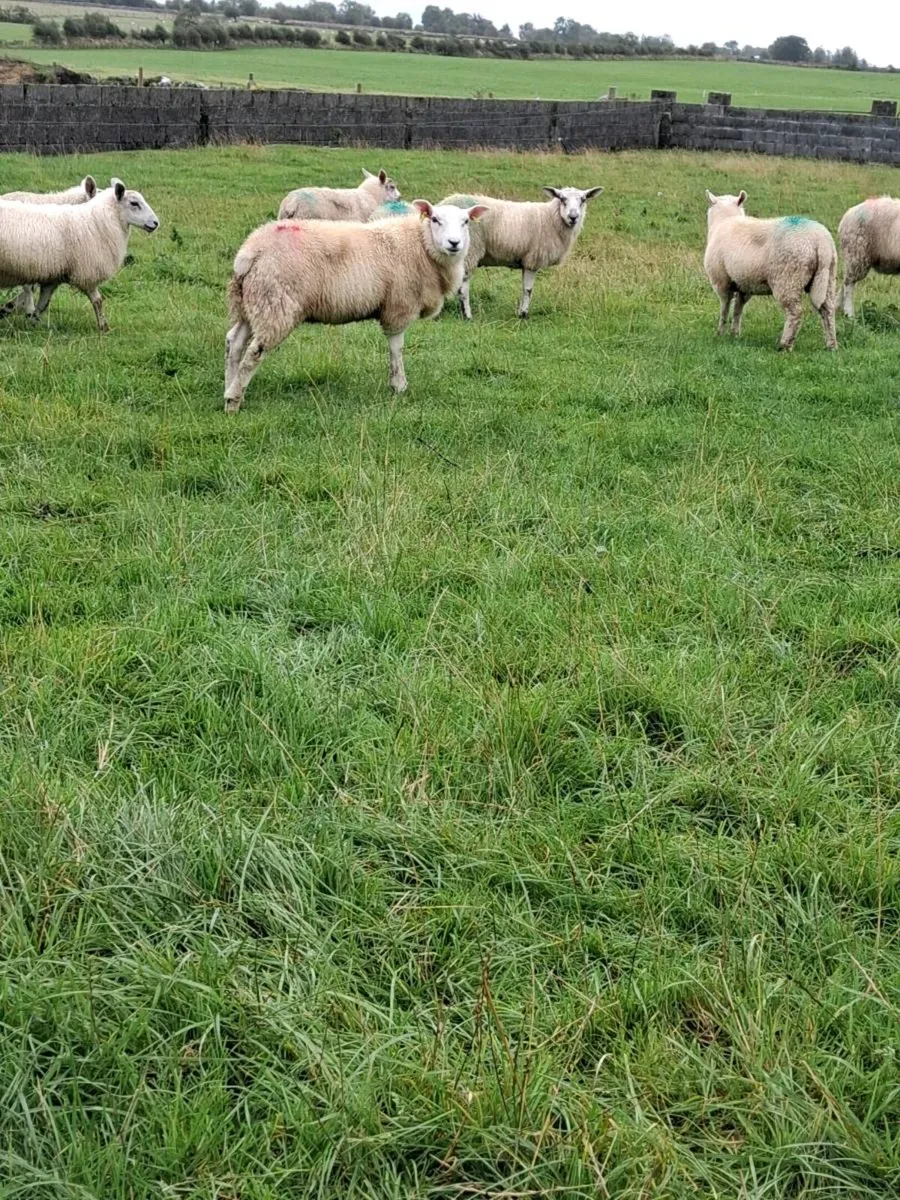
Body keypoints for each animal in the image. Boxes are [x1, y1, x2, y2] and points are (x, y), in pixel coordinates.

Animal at [224, 199, 488, 412]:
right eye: (435, 219)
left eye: (465, 221)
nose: (454, 243)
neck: (421, 245)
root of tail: (250, 251)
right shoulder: (398, 306)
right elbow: (397, 348)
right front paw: (399, 386)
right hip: (275, 304)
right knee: (254, 352)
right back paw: (233, 401)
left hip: (251, 303)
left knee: (234, 342)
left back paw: (229, 387)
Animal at [440, 185, 603, 319]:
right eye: (562, 199)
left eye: (583, 199)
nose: (573, 217)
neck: (551, 218)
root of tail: (442, 204)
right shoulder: (532, 260)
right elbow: (528, 290)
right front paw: (523, 315)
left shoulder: (525, 261)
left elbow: (524, 288)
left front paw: (521, 312)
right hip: (469, 251)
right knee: (463, 287)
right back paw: (467, 315)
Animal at [703, 190, 837, 351]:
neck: (724, 220)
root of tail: (821, 242)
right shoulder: (745, 284)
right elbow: (737, 309)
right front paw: (734, 334)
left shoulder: (721, 281)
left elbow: (724, 308)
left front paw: (720, 333)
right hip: (826, 277)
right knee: (828, 309)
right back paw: (831, 345)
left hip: (788, 279)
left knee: (795, 313)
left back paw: (785, 345)